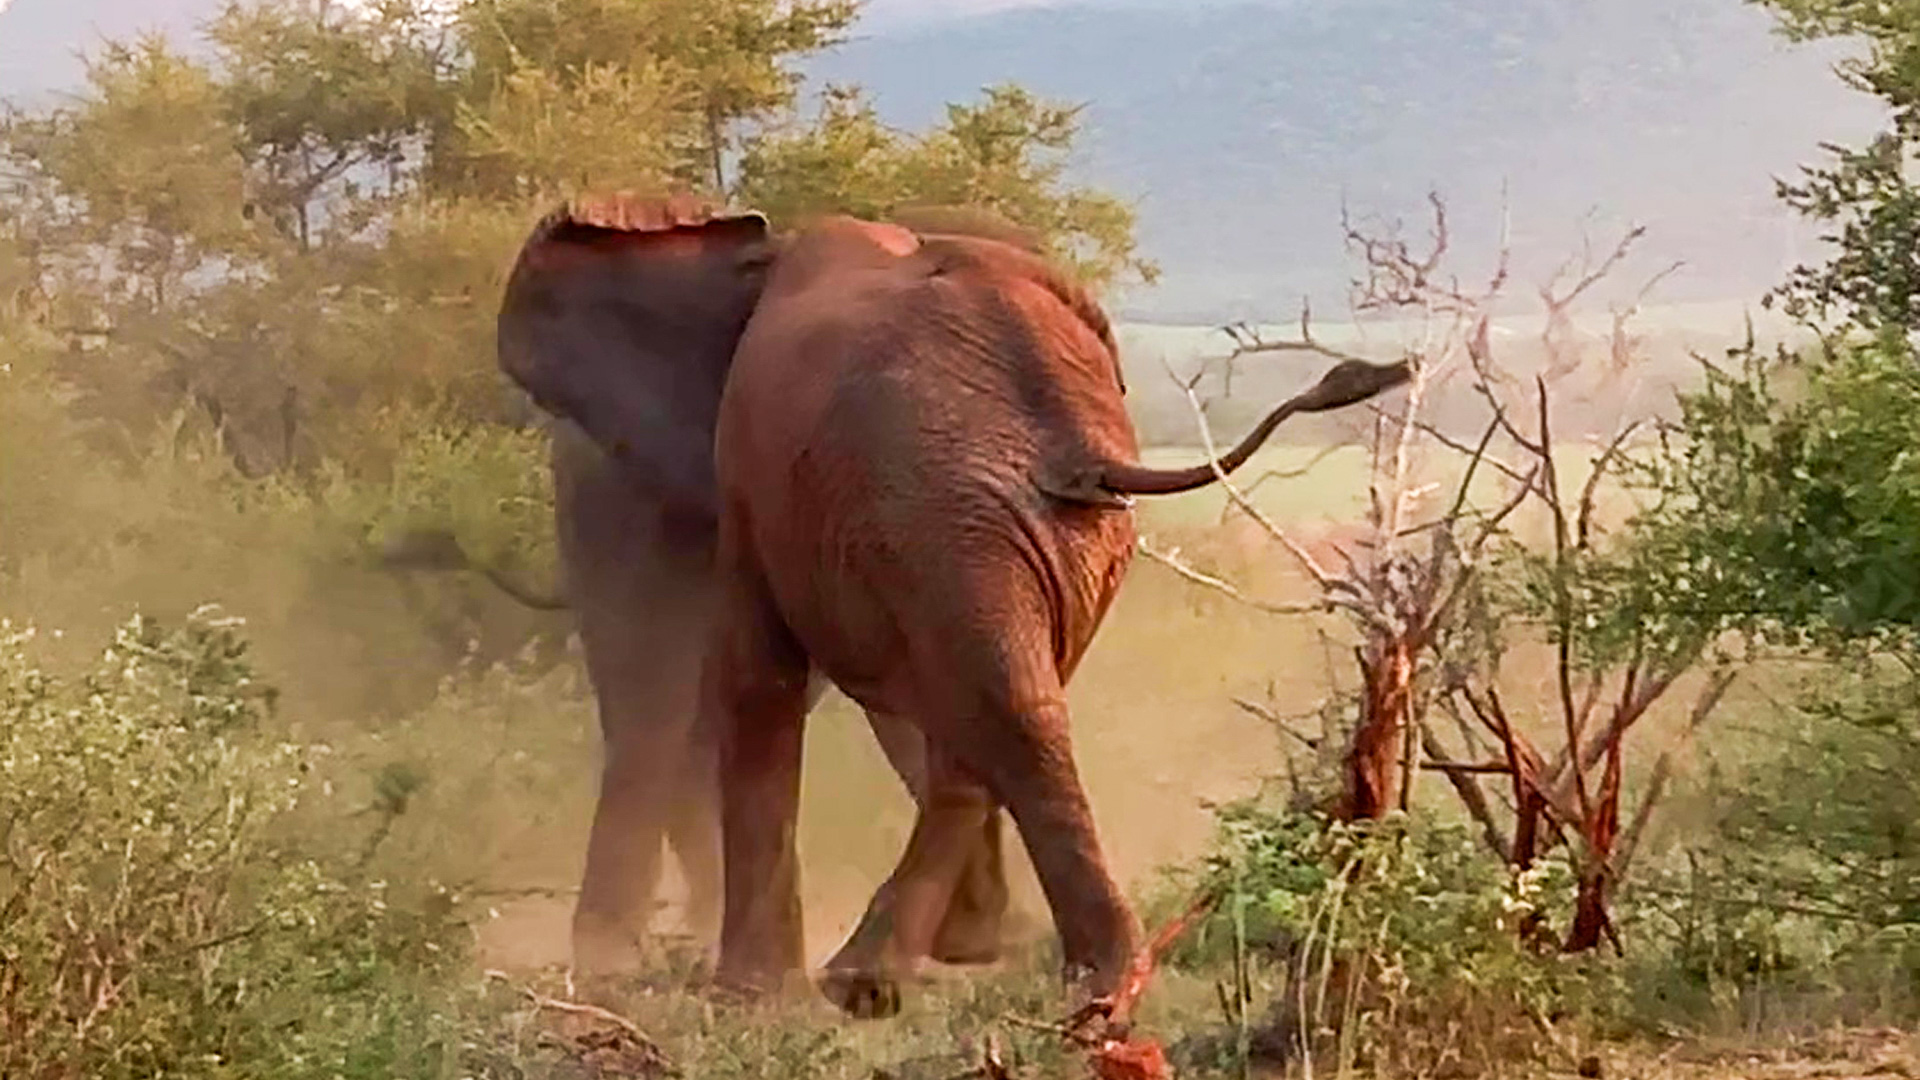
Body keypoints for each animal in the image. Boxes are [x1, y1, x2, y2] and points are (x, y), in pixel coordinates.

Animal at [494, 191, 1412, 1020]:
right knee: (1006, 708)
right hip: (1044, 535)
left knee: (989, 709)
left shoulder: (752, 476)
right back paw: (1067, 980)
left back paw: (898, 981)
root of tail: (1070, 434)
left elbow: (756, 680)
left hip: (954, 517)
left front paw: (749, 994)